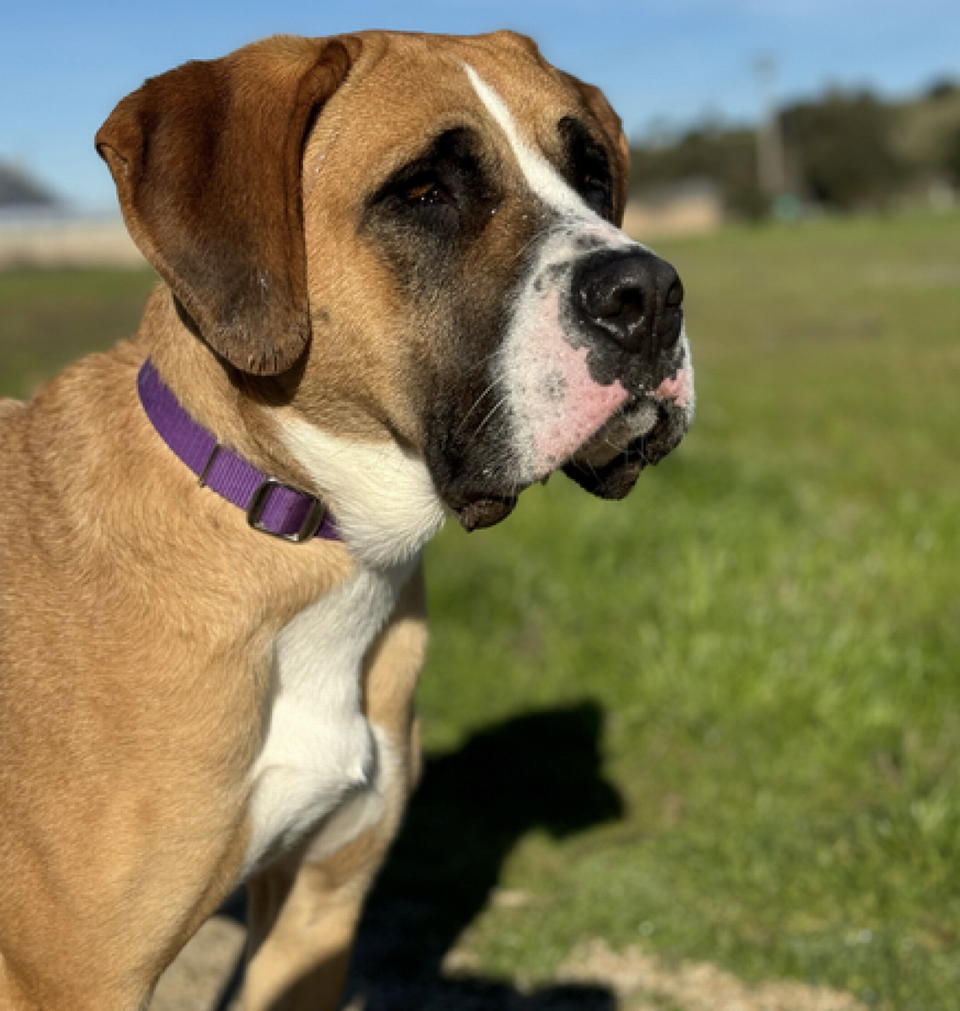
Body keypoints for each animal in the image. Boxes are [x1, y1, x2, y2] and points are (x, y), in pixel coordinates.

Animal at [0, 31, 691, 1011]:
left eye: (591, 173)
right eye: (423, 191)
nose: (651, 295)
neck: (309, 535)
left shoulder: (317, 913)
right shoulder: (76, 976)